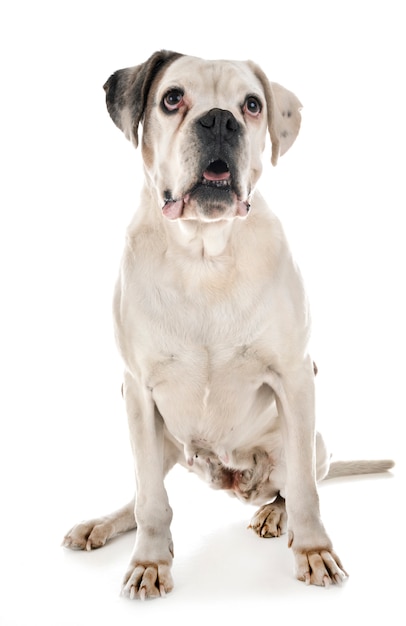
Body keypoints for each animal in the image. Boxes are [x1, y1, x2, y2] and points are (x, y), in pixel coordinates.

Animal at [63, 51, 394, 596]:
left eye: (253, 104)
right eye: (172, 97)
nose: (220, 120)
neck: (204, 254)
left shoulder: (296, 378)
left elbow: (306, 491)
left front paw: (314, 551)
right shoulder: (137, 391)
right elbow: (151, 499)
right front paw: (150, 560)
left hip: (314, 440)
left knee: (293, 485)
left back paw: (274, 515)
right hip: (158, 436)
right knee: (143, 490)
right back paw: (103, 523)